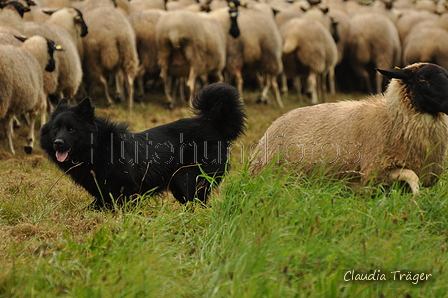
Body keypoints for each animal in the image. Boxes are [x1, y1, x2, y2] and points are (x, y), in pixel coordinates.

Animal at [40, 82, 247, 208]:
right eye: (56, 129)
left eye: (72, 129)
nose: (58, 143)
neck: (98, 147)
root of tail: (213, 124)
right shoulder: (104, 194)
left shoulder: (127, 191)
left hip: (188, 179)